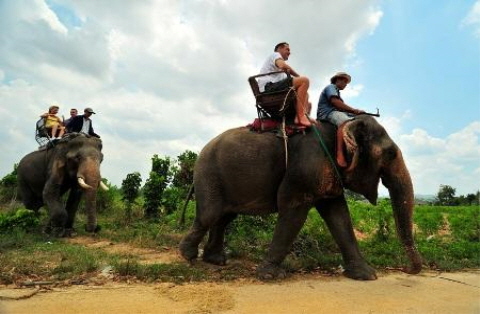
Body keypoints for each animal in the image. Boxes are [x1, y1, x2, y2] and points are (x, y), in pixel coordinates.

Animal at [181, 115, 424, 280]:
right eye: (390, 154)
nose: (405, 269)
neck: (341, 127)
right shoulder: (305, 168)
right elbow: (293, 210)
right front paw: (270, 275)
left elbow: (338, 215)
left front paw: (367, 276)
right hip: (209, 174)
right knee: (210, 214)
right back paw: (188, 257)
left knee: (224, 217)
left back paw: (215, 261)